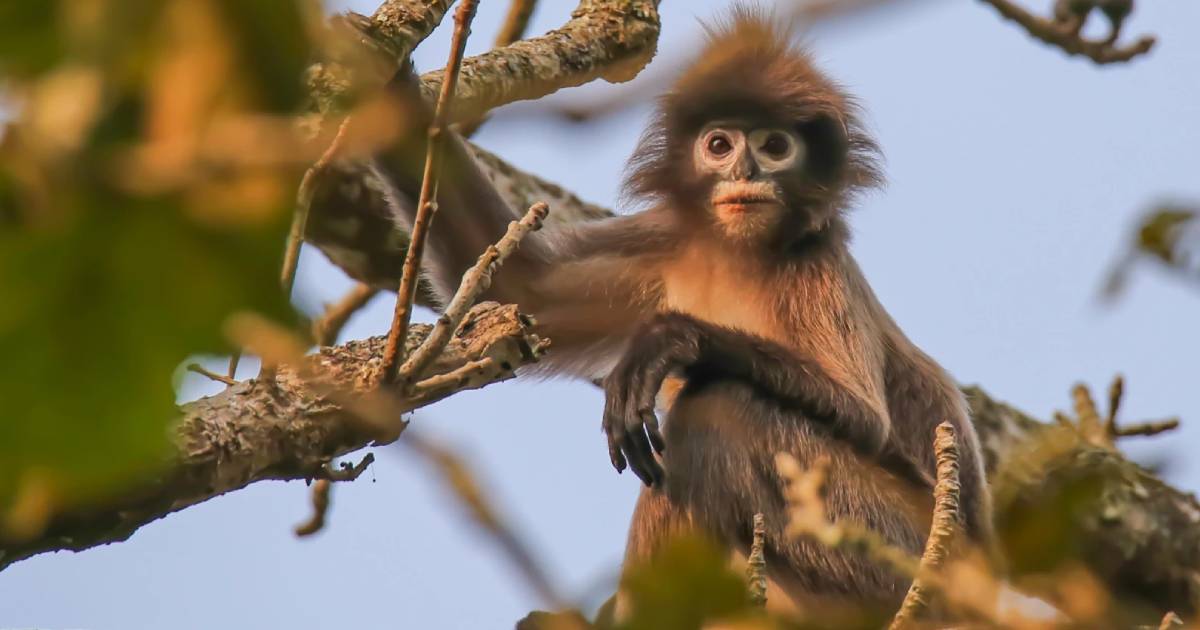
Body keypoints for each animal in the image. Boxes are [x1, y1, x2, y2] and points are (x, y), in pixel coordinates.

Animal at [367, 3, 993, 614]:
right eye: (720, 145)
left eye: (775, 146)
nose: (746, 173)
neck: (738, 254)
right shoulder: (666, 243)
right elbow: (525, 288)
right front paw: (381, 78)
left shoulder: (816, 264)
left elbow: (864, 417)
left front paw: (673, 340)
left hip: (896, 545)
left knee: (718, 407)